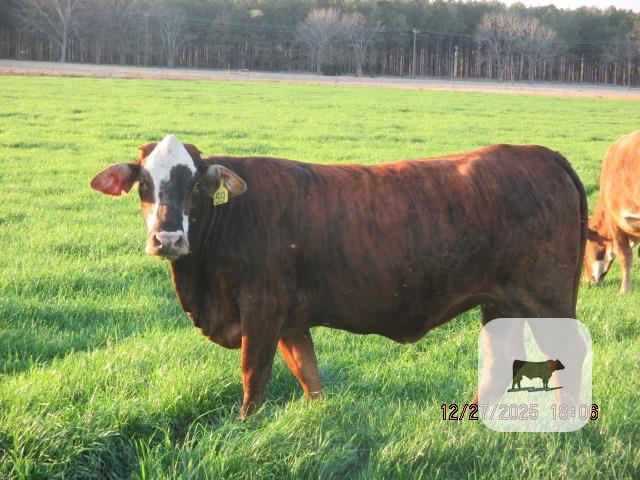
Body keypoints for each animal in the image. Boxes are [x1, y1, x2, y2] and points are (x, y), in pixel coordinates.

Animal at [90, 134, 587, 417]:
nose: (167, 239)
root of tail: (540, 155)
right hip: (501, 302)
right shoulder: (290, 321)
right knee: (500, 362)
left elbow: (254, 377)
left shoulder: (262, 311)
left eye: (194, 184)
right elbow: (308, 375)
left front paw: (244, 426)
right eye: (144, 183)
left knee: (568, 355)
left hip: (547, 300)